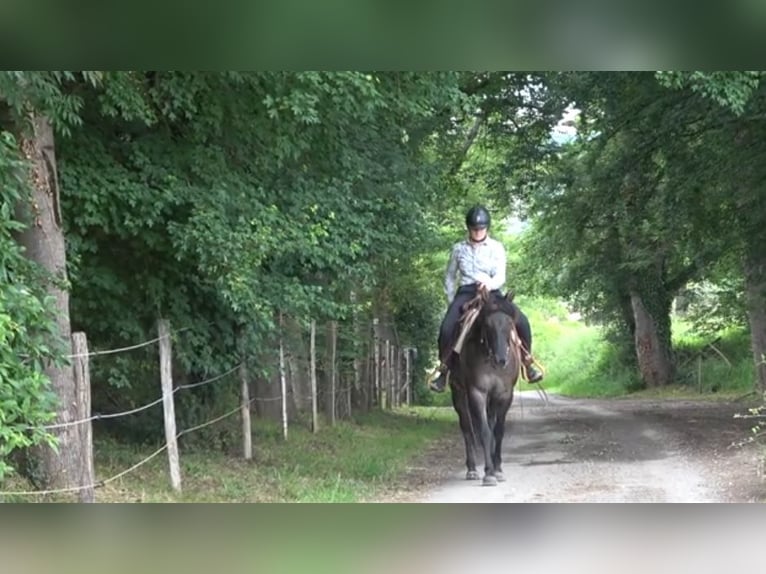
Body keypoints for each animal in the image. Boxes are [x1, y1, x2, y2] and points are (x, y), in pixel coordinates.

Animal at [449, 290, 522, 486]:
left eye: (510, 323)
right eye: (487, 324)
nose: (501, 359)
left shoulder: (504, 394)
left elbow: (498, 431)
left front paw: (498, 469)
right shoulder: (477, 392)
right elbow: (484, 431)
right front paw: (489, 473)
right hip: (458, 393)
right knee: (467, 428)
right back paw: (472, 469)